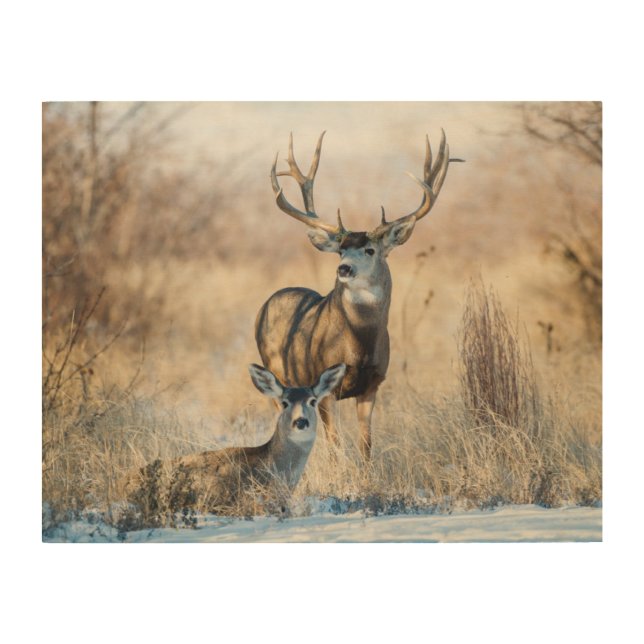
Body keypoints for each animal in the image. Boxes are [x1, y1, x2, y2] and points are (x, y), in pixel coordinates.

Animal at [256, 130, 458, 460]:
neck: (359, 343)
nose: (344, 268)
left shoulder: (372, 384)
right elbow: (336, 445)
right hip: (275, 372)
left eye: (370, 249)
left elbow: (366, 445)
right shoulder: (323, 385)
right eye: (340, 250)